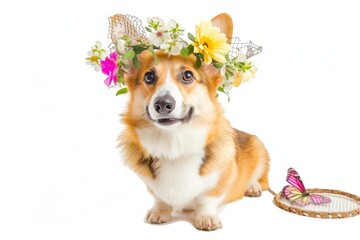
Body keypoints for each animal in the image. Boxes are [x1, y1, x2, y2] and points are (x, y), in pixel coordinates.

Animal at [121, 13, 270, 231]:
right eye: (149, 76)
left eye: (187, 75)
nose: (162, 104)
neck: (173, 145)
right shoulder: (152, 186)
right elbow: (160, 198)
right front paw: (159, 212)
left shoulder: (219, 182)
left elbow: (207, 199)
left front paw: (206, 218)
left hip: (260, 151)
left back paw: (252, 187)